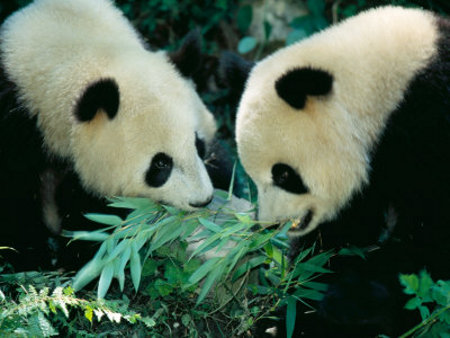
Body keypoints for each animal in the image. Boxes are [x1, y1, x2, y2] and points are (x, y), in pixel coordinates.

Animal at [225, 5, 450, 338]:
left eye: (283, 174)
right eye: (252, 177)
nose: (269, 224)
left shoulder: (429, 127)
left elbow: (429, 238)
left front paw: (352, 302)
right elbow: (336, 237)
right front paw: (293, 315)